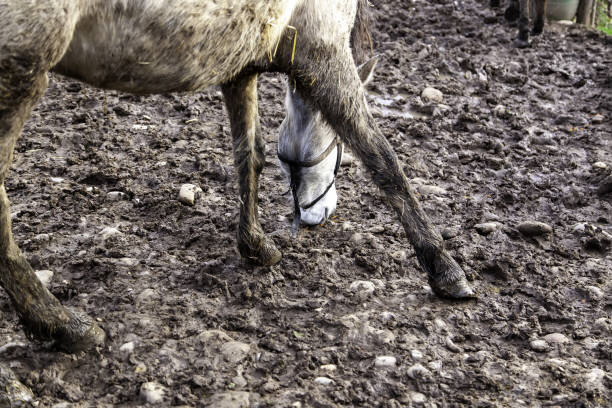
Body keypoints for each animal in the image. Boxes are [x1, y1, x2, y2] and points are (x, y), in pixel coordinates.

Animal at [0, 0, 474, 352]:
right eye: (337, 149)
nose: (315, 215)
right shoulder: (322, 52)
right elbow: (384, 160)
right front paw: (445, 270)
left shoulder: (241, 61)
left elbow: (250, 155)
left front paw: (255, 246)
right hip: (22, 69)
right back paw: (65, 325)